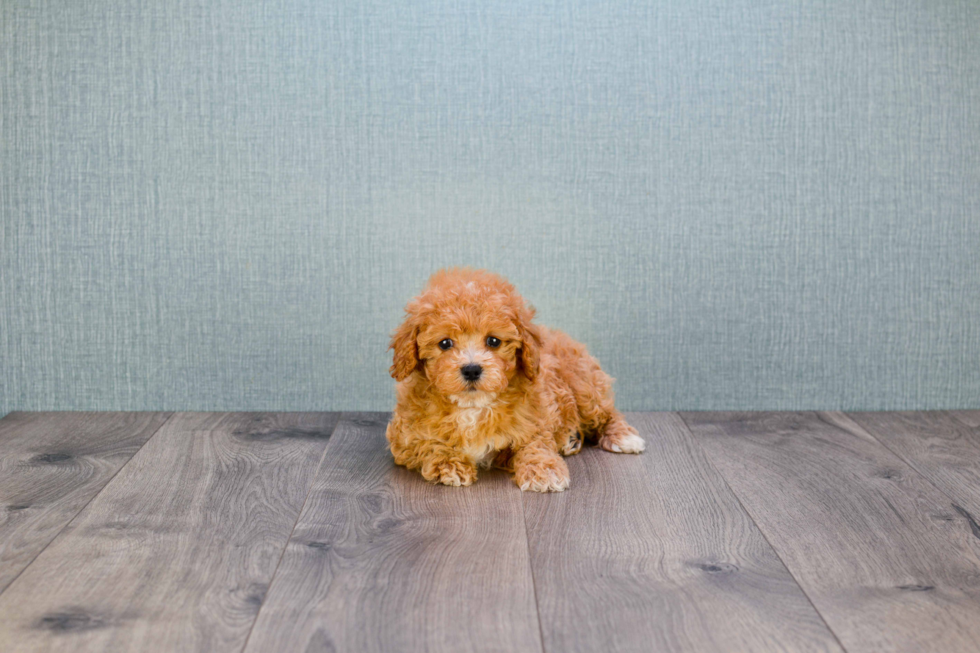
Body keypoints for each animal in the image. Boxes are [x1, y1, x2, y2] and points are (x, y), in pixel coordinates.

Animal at [382, 268, 644, 492]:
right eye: (445, 343)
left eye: (493, 341)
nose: (472, 369)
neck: (472, 407)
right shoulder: (404, 438)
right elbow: (428, 444)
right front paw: (449, 464)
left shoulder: (537, 419)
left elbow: (535, 444)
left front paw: (544, 471)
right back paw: (572, 439)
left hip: (585, 386)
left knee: (607, 414)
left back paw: (623, 437)